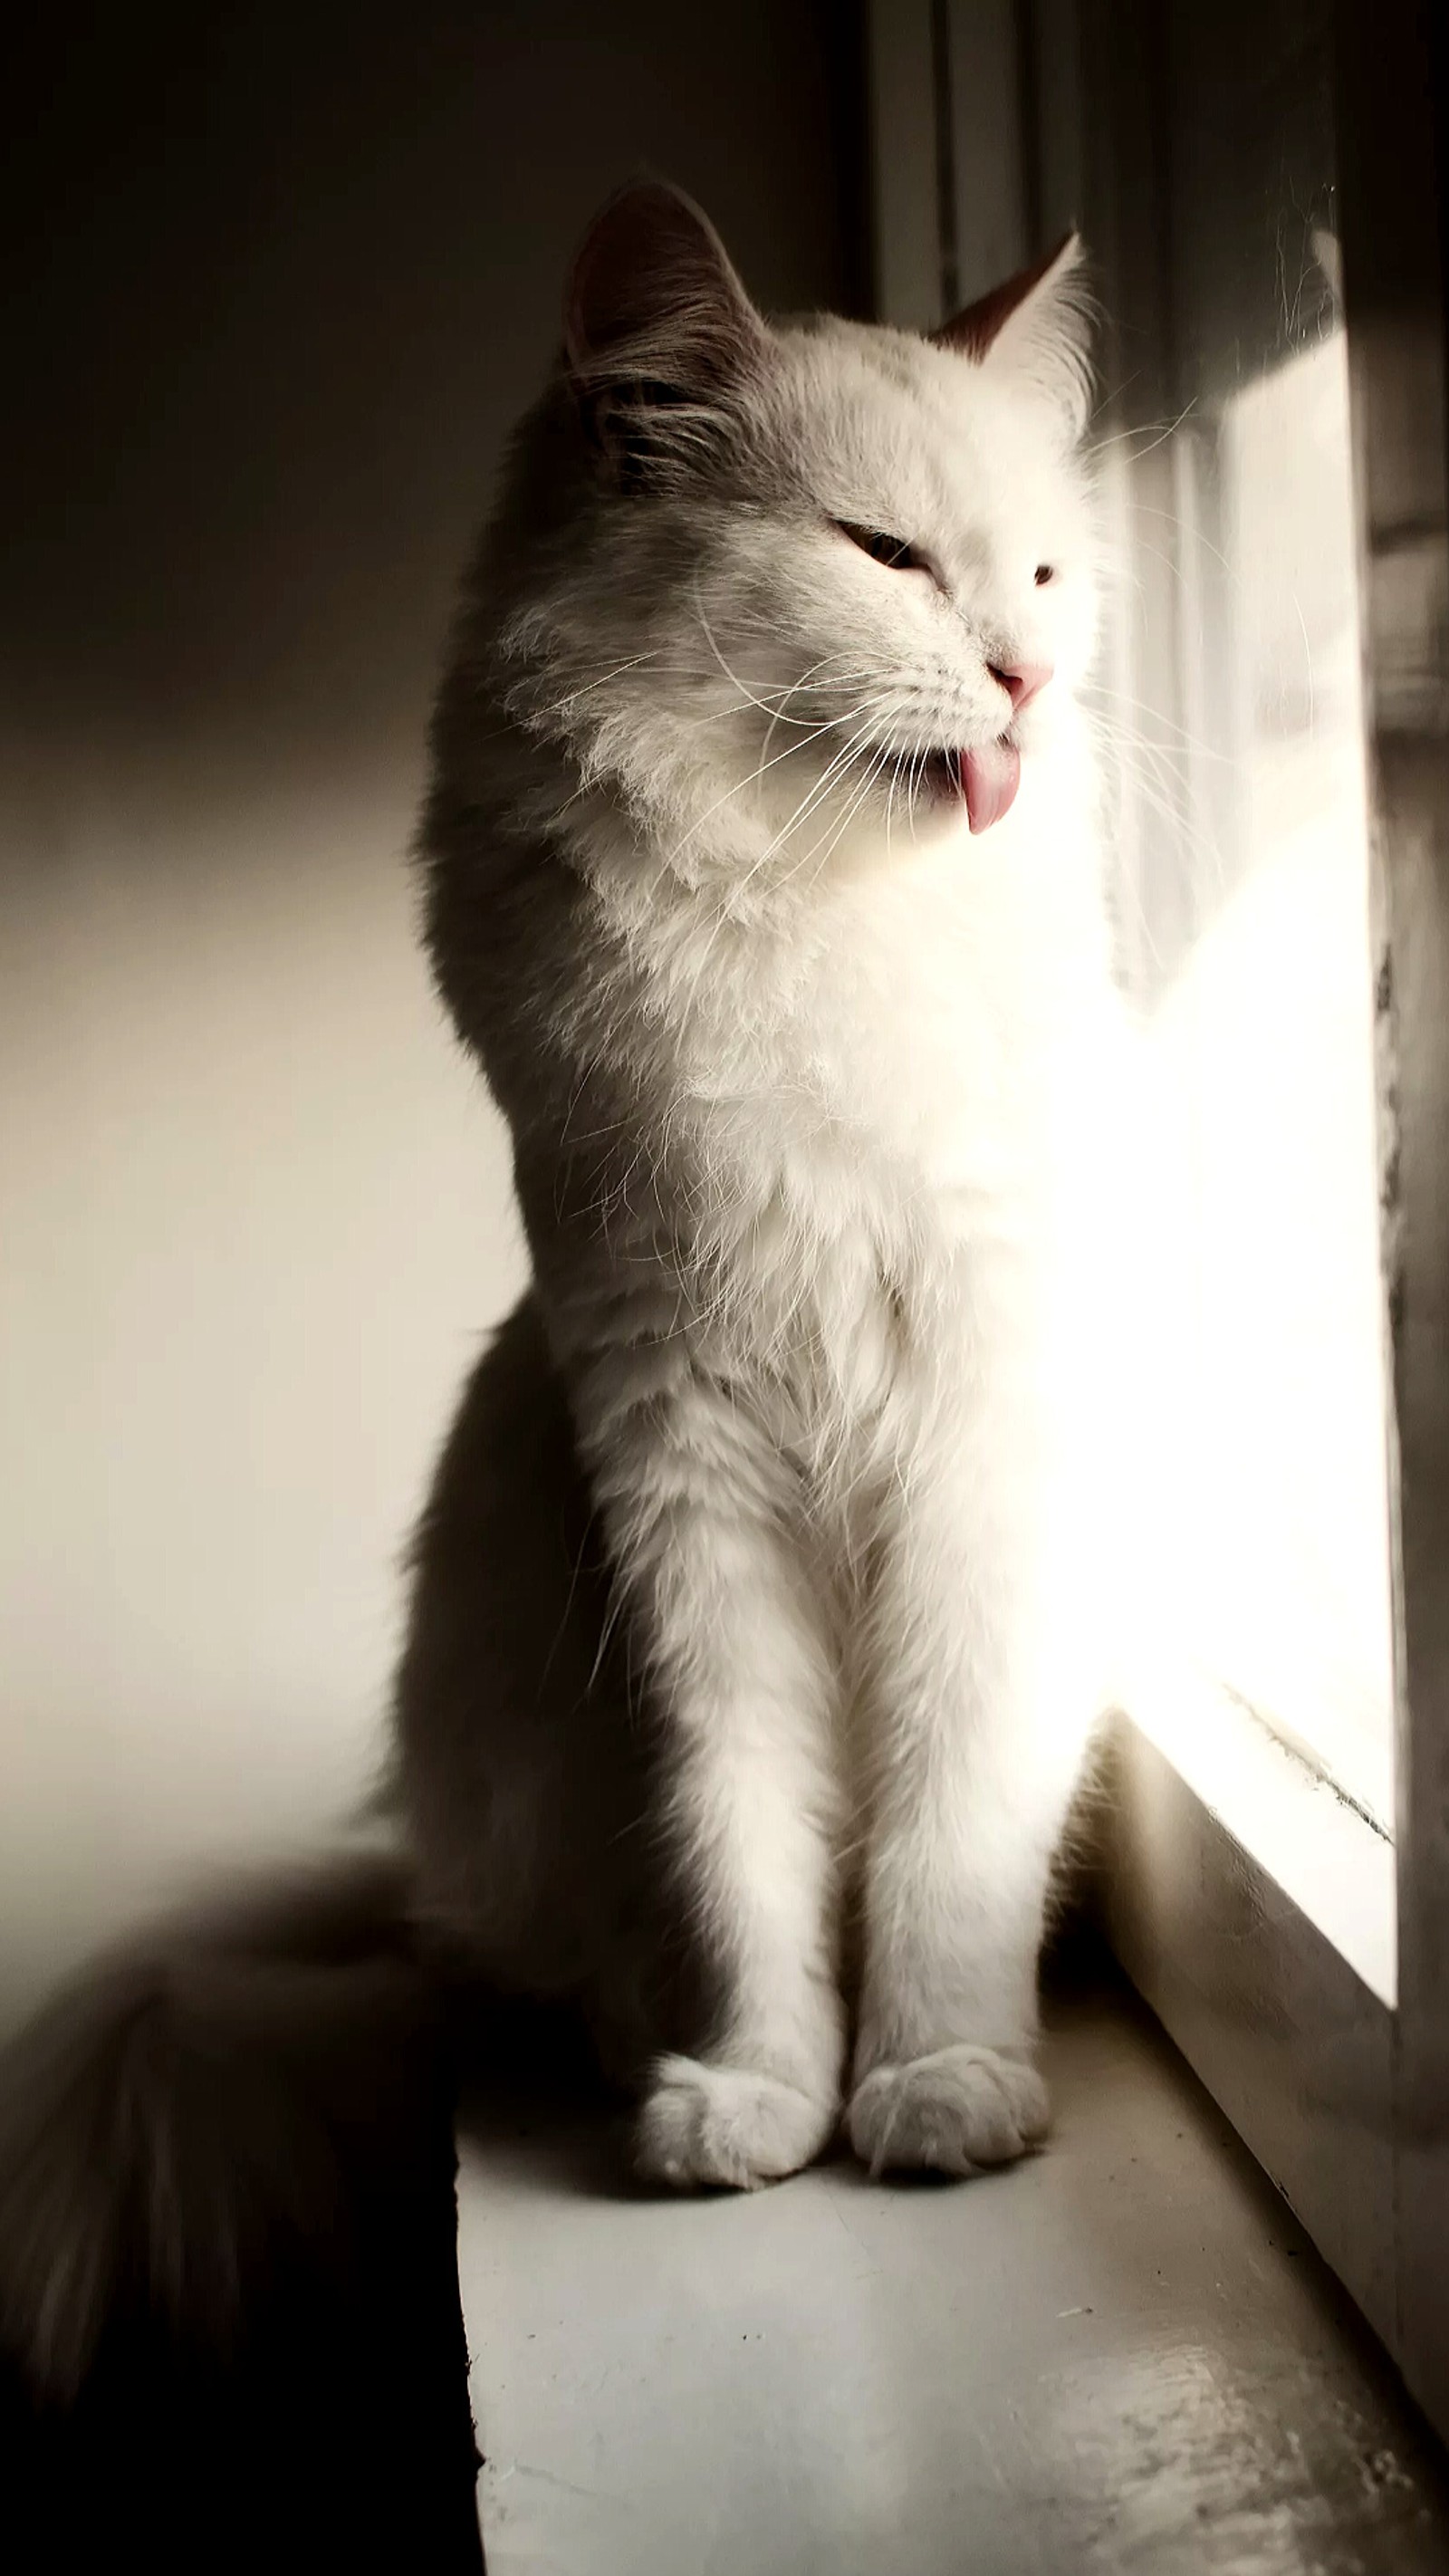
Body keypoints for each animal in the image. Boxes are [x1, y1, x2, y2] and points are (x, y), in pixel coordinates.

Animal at [0, 176, 1132, 2390]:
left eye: (1043, 571)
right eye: (884, 558)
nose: (1029, 676)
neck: (803, 928)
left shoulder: (978, 1433)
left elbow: (942, 1821)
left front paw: (936, 2085)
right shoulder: (671, 1442)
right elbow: (743, 1840)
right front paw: (760, 2093)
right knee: (572, 1949)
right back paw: (646, 2057)